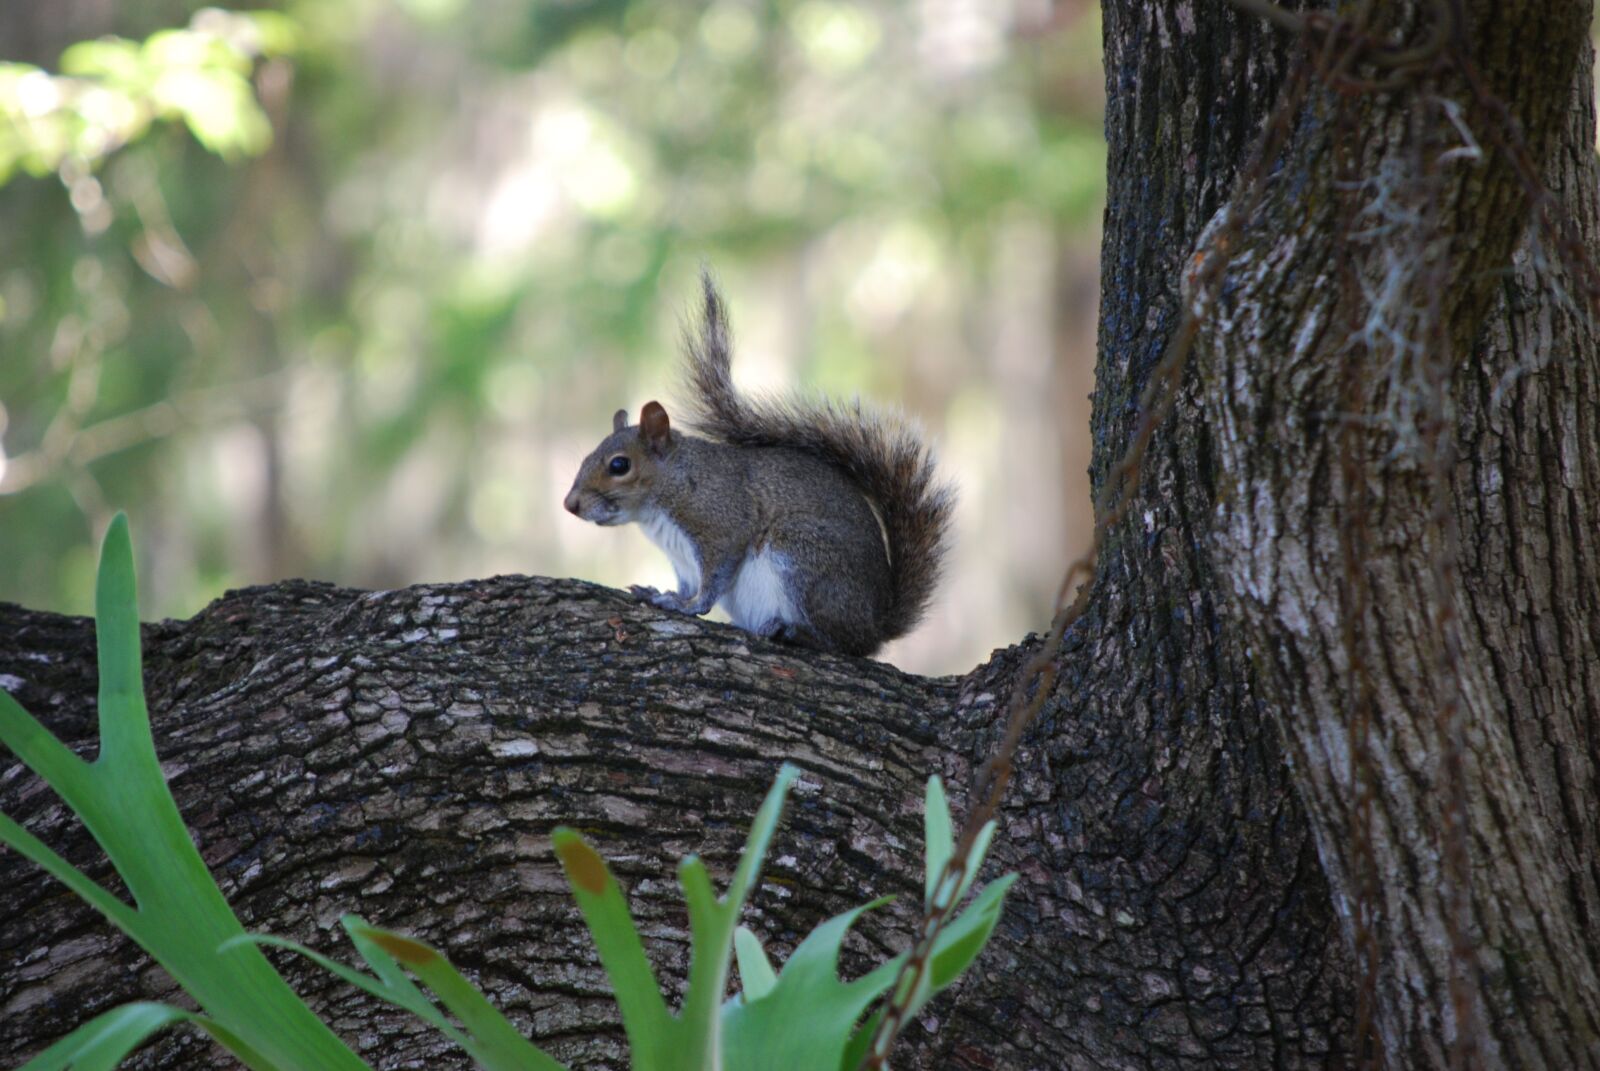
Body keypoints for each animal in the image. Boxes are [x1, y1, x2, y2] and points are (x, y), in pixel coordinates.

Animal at [562, 273, 953, 657]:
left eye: (619, 465)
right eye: (586, 458)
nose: (570, 504)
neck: (674, 484)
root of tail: (877, 623)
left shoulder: (721, 524)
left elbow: (712, 581)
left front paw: (687, 606)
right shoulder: (682, 559)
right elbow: (687, 582)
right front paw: (660, 593)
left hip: (802, 553)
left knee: (845, 645)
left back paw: (795, 632)